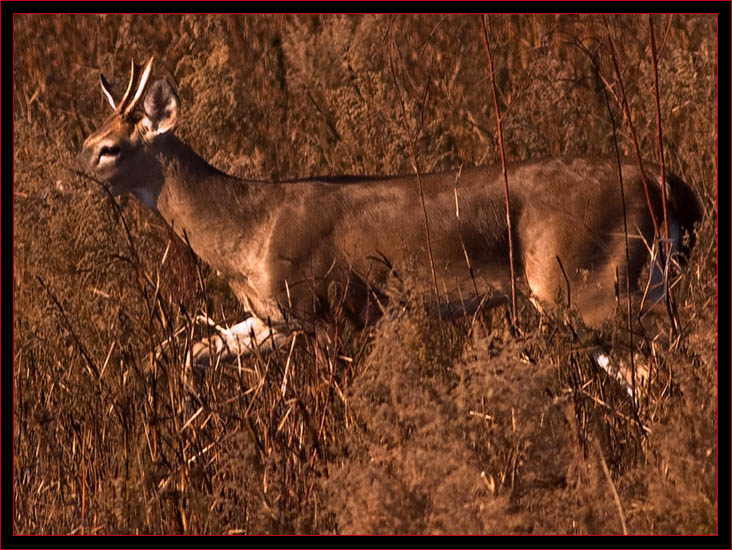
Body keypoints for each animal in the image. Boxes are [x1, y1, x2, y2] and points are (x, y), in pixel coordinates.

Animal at [77, 58, 700, 368]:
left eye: (110, 147)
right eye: (89, 137)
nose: (77, 165)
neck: (248, 228)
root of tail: (668, 185)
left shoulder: (323, 309)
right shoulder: (273, 316)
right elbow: (186, 354)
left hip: (587, 285)